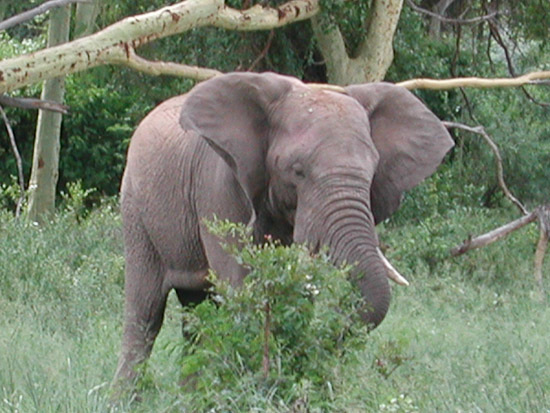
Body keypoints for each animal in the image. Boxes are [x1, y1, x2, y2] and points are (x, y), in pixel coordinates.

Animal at [114, 71, 454, 384]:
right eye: (298, 171)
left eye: (372, 173)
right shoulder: (218, 185)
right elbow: (242, 287)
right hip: (135, 209)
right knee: (146, 313)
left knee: (195, 314)